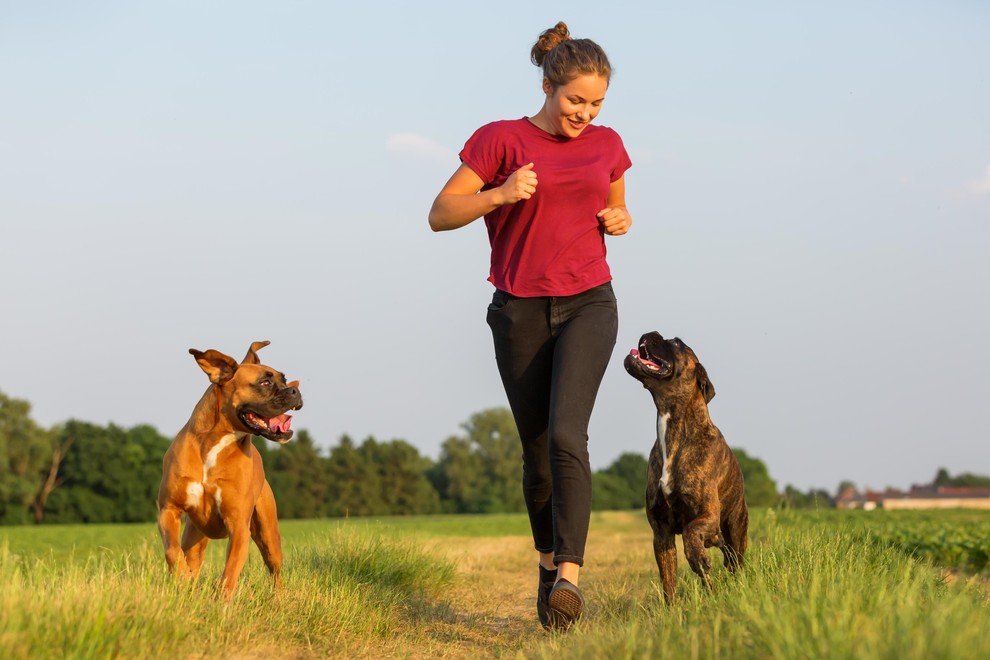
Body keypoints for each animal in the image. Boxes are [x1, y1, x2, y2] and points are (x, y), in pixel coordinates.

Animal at [157, 340, 304, 600]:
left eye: (284, 380)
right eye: (265, 383)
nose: (294, 391)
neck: (217, 444)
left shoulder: (238, 528)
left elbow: (230, 573)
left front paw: (221, 603)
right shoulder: (168, 510)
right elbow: (173, 552)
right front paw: (183, 580)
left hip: (268, 535)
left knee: (275, 570)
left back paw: (279, 596)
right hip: (195, 534)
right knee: (190, 557)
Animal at [624, 332, 748, 600]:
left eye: (677, 343)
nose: (652, 332)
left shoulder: (708, 514)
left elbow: (692, 532)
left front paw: (698, 557)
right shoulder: (661, 532)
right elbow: (668, 580)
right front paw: (671, 608)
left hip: (736, 531)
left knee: (735, 563)